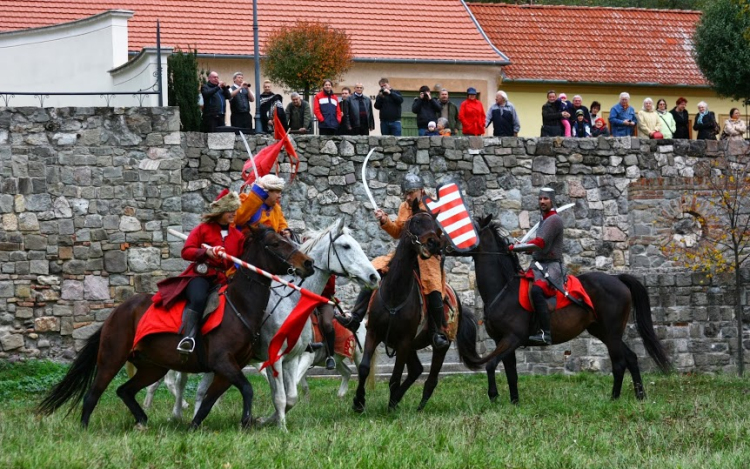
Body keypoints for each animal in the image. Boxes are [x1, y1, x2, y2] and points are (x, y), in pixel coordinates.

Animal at [36, 224, 314, 428]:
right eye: (275, 243)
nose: (308, 264)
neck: (239, 306)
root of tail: (117, 312)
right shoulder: (223, 362)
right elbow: (246, 388)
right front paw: (246, 421)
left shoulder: (228, 368)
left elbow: (209, 400)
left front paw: (194, 426)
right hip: (111, 358)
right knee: (94, 393)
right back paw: (85, 428)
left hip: (153, 367)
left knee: (125, 391)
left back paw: (142, 421)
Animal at [146, 218, 378, 430]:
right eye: (346, 246)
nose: (373, 276)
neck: (290, 303)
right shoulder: (274, 359)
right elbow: (280, 396)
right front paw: (279, 426)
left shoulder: (292, 358)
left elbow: (290, 397)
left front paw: (268, 420)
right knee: (178, 382)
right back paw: (175, 413)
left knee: (199, 389)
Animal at [352, 203, 482, 412]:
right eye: (416, 222)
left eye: (436, 227)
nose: (433, 243)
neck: (395, 293)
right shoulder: (374, 333)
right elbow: (364, 368)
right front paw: (358, 402)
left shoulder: (404, 342)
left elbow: (395, 377)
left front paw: (389, 408)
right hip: (410, 346)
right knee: (416, 370)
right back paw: (397, 399)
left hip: (439, 347)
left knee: (431, 379)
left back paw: (417, 406)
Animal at [458, 216, 676, 402]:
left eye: (472, 229)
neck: (504, 288)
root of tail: (617, 279)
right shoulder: (501, 340)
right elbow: (511, 372)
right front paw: (514, 401)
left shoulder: (513, 338)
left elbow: (490, 365)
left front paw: (493, 395)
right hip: (603, 332)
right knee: (630, 357)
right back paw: (639, 395)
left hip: (611, 333)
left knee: (619, 362)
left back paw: (614, 398)